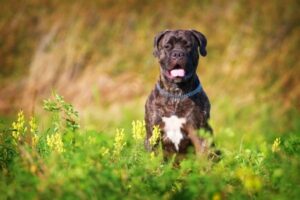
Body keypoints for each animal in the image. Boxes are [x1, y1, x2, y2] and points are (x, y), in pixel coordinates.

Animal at [144, 29, 214, 158]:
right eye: (167, 46)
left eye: (188, 46)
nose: (177, 54)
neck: (176, 94)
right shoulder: (152, 134)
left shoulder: (200, 134)